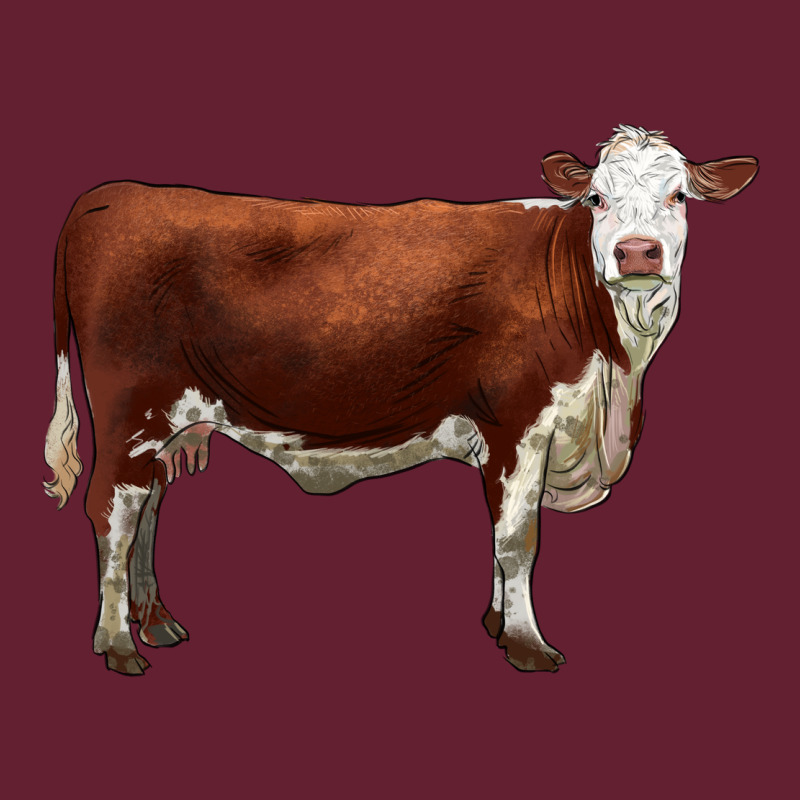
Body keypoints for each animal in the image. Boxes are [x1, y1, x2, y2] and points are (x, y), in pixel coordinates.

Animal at [44, 126, 757, 675]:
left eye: (678, 196)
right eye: (598, 198)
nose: (637, 253)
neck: (612, 383)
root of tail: (111, 194)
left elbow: (498, 532)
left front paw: (496, 622)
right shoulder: (519, 421)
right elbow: (518, 538)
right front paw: (526, 645)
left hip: (168, 423)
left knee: (147, 507)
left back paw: (156, 622)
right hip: (130, 411)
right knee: (111, 511)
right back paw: (118, 644)